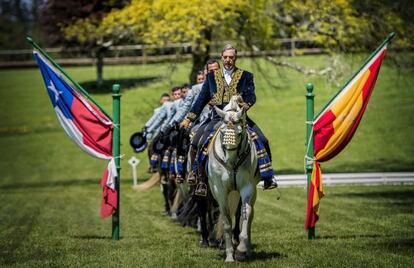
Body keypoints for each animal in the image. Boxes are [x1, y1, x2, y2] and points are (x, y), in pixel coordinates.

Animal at [209, 96, 260, 262]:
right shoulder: (220, 191)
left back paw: (247, 250)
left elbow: (246, 214)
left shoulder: (247, 187)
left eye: (239, 133)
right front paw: (229, 256)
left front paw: (241, 250)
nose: (230, 163)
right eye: (222, 132)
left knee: (249, 215)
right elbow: (226, 221)